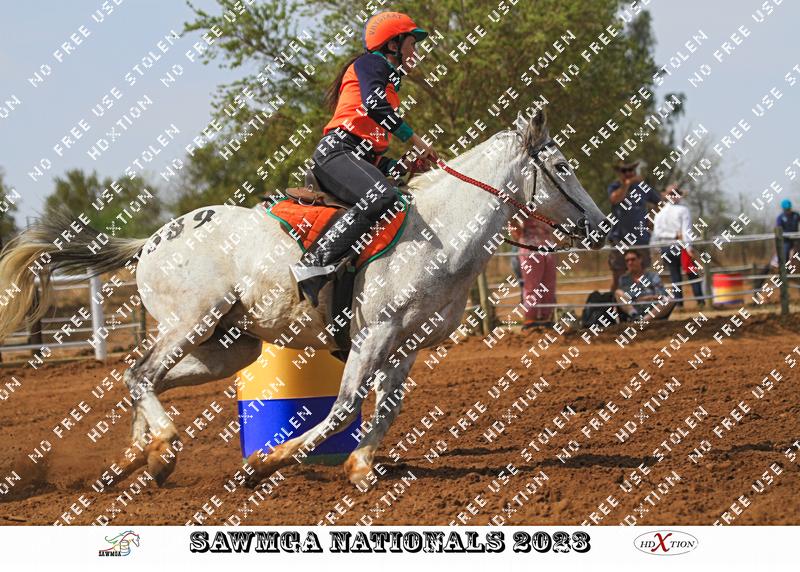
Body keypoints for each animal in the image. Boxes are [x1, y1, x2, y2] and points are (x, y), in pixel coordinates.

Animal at [0, 111, 608, 489]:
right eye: (564, 167)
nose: (600, 225)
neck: (438, 233)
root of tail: (150, 240)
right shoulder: (372, 335)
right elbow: (342, 408)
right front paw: (266, 463)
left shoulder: (406, 345)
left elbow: (386, 409)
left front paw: (361, 466)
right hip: (189, 323)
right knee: (140, 374)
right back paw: (165, 445)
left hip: (230, 346)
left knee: (144, 379)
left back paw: (140, 460)